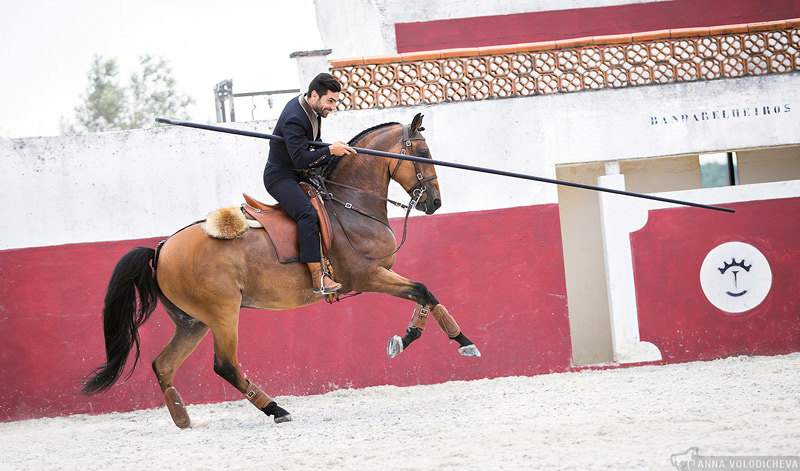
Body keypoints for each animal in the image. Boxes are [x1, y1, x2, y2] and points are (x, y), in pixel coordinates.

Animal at [82, 113, 482, 428]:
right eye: (424, 154)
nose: (435, 202)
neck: (349, 204)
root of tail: (161, 248)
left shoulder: (377, 276)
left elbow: (425, 293)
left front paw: (440, 339)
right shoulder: (367, 276)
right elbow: (422, 289)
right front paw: (431, 340)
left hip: (192, 322)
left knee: (163, 365)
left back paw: (184, 419)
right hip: (223, 313)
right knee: (225, 365)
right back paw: (276, 409)